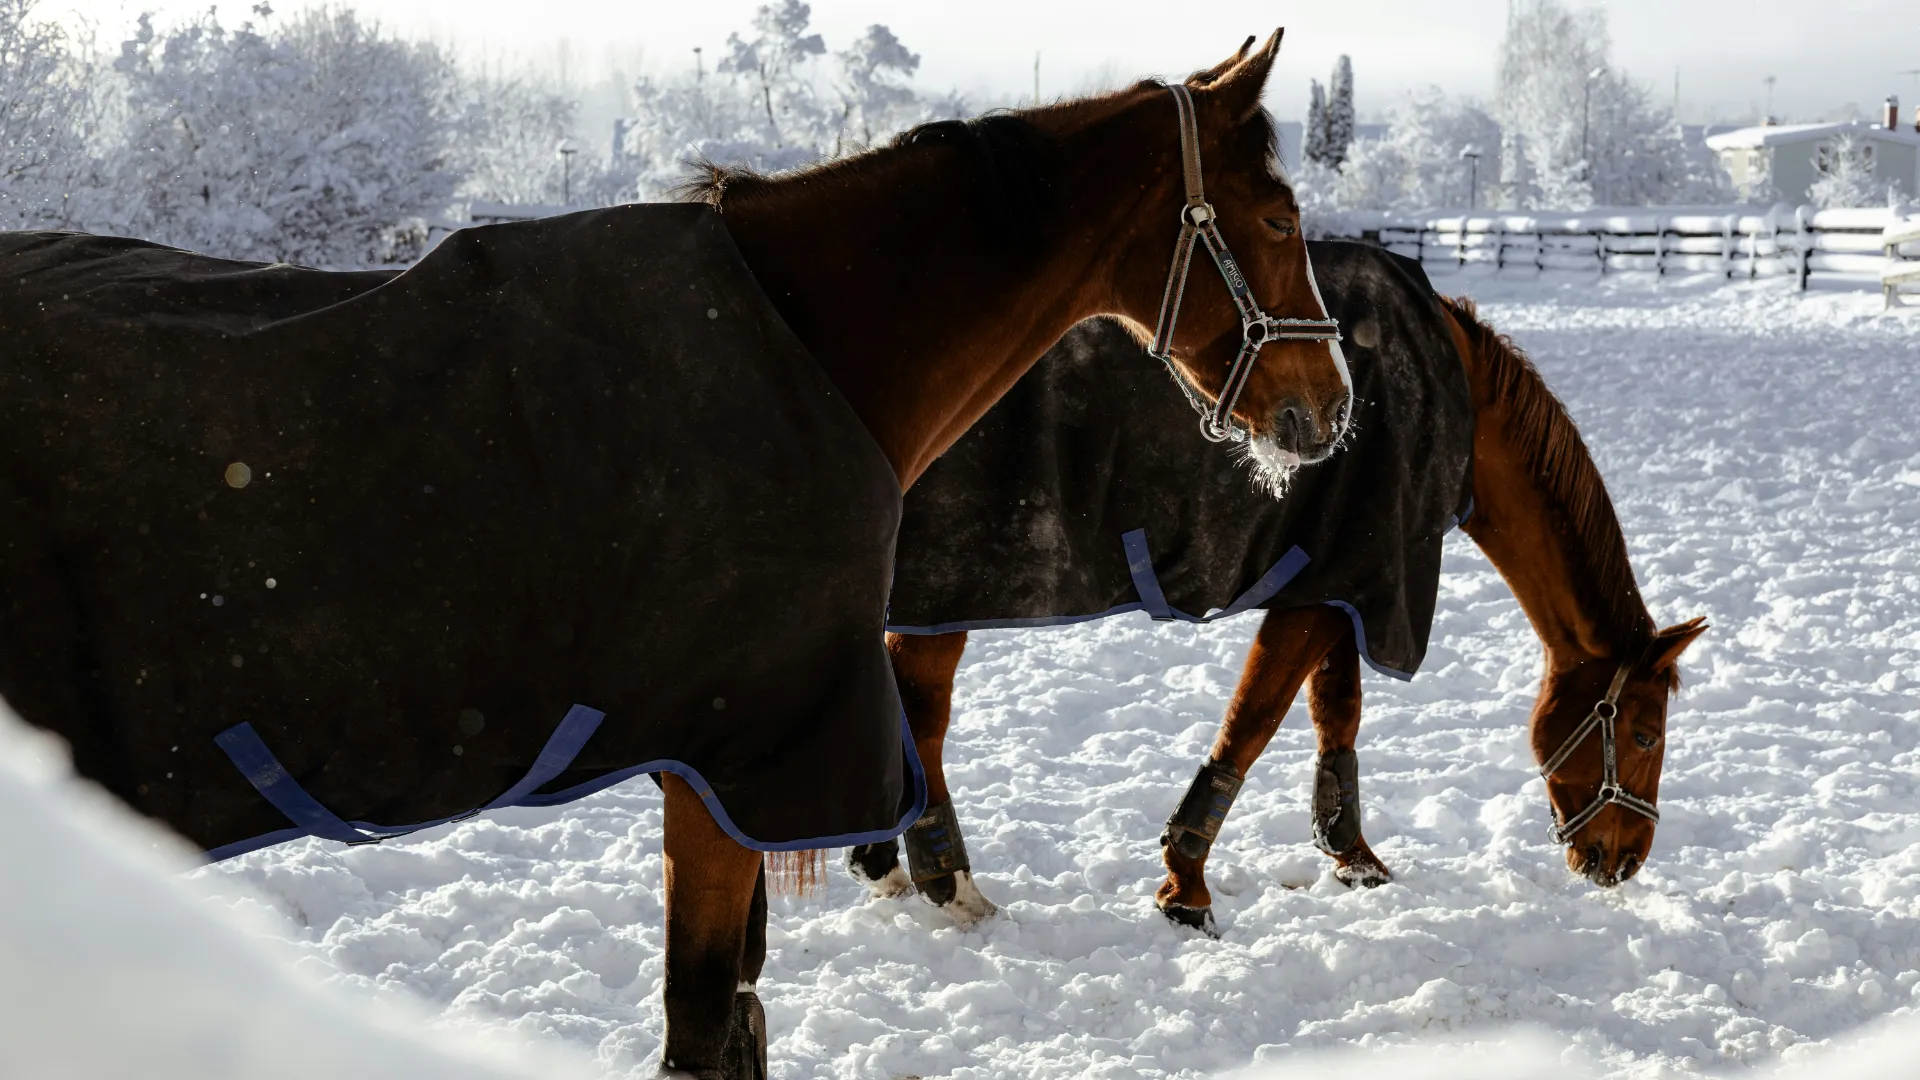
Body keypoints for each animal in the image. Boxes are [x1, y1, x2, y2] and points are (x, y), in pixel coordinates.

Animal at [0, 31, 1347, 1078]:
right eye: (1279, 216)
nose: (1332, 408)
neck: (812, 343)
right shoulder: (734, 761)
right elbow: (703, 1027)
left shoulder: (729, 770)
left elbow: (734, 1014)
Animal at [856, 241, 1707, 936]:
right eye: (1643, 735)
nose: (1623, 859)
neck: (1448, 394)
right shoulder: (1328, 585)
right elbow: (1256, 720)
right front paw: (1186, 885)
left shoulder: (1342, 582)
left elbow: (1336, 711)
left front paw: (1352, 854)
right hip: (945, 595)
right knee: (922, 714)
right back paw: (945, 878)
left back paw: (886, 861)